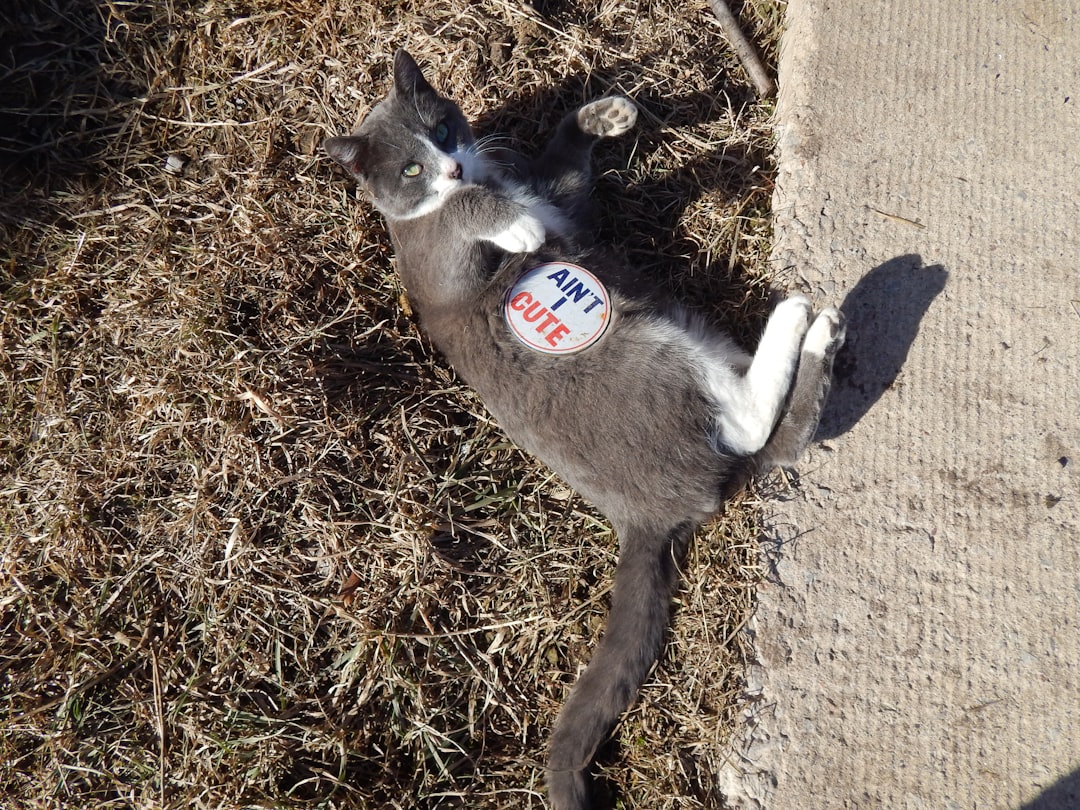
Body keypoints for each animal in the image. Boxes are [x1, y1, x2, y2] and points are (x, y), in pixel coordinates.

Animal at [324, 50, 846, 810]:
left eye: (443, 128)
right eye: (412, 169)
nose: (451, 166)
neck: (495, 182)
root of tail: (644, 516)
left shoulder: (560, 197)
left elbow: (567, 169)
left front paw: (607, 114)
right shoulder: (439, 262)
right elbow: (463, 219)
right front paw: (510, 223)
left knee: (768, 439)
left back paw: (815, 335)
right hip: (646, 359)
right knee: (751, 429)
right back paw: (803, 321)